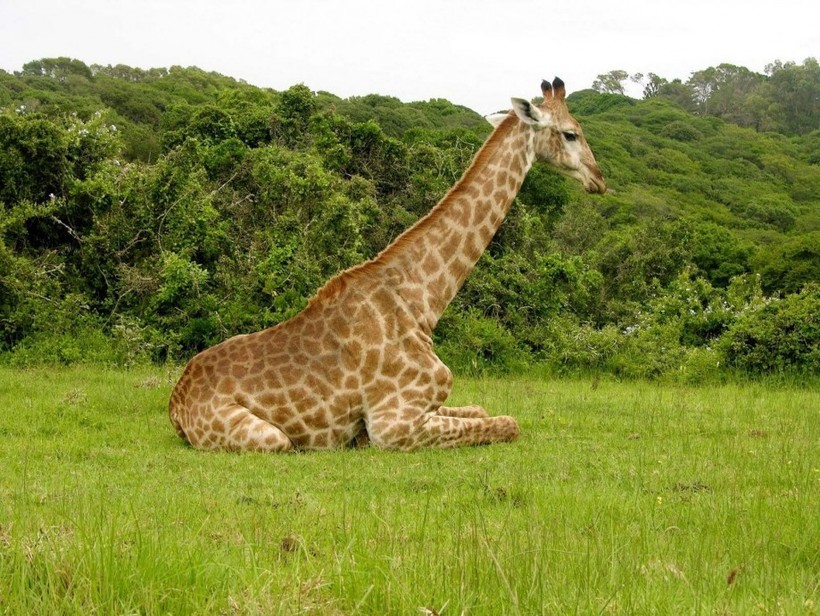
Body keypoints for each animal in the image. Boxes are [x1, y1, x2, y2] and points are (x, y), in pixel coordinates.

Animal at [171, 78, 608, 452]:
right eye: (571, 133)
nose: (599, 180)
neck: (421, 303)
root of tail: (175, 405)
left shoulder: (429, 407)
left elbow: (483, 410)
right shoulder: (393, 424)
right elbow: (508, 423)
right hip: (268, 437)